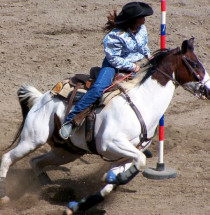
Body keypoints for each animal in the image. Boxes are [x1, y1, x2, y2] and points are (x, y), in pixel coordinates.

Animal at [0, 37, 210, 214]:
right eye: (194, 64)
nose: (208, 89)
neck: (142, 102)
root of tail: (41, 98)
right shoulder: (111, 144)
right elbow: (139, 162)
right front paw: (113, 179)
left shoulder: (126, 155)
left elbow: (114, 182)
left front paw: (77, 205)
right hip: (33, 139)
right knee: (7, 158)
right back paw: (5, 196)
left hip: (65, 152)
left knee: (35, 161)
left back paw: (47, 185)